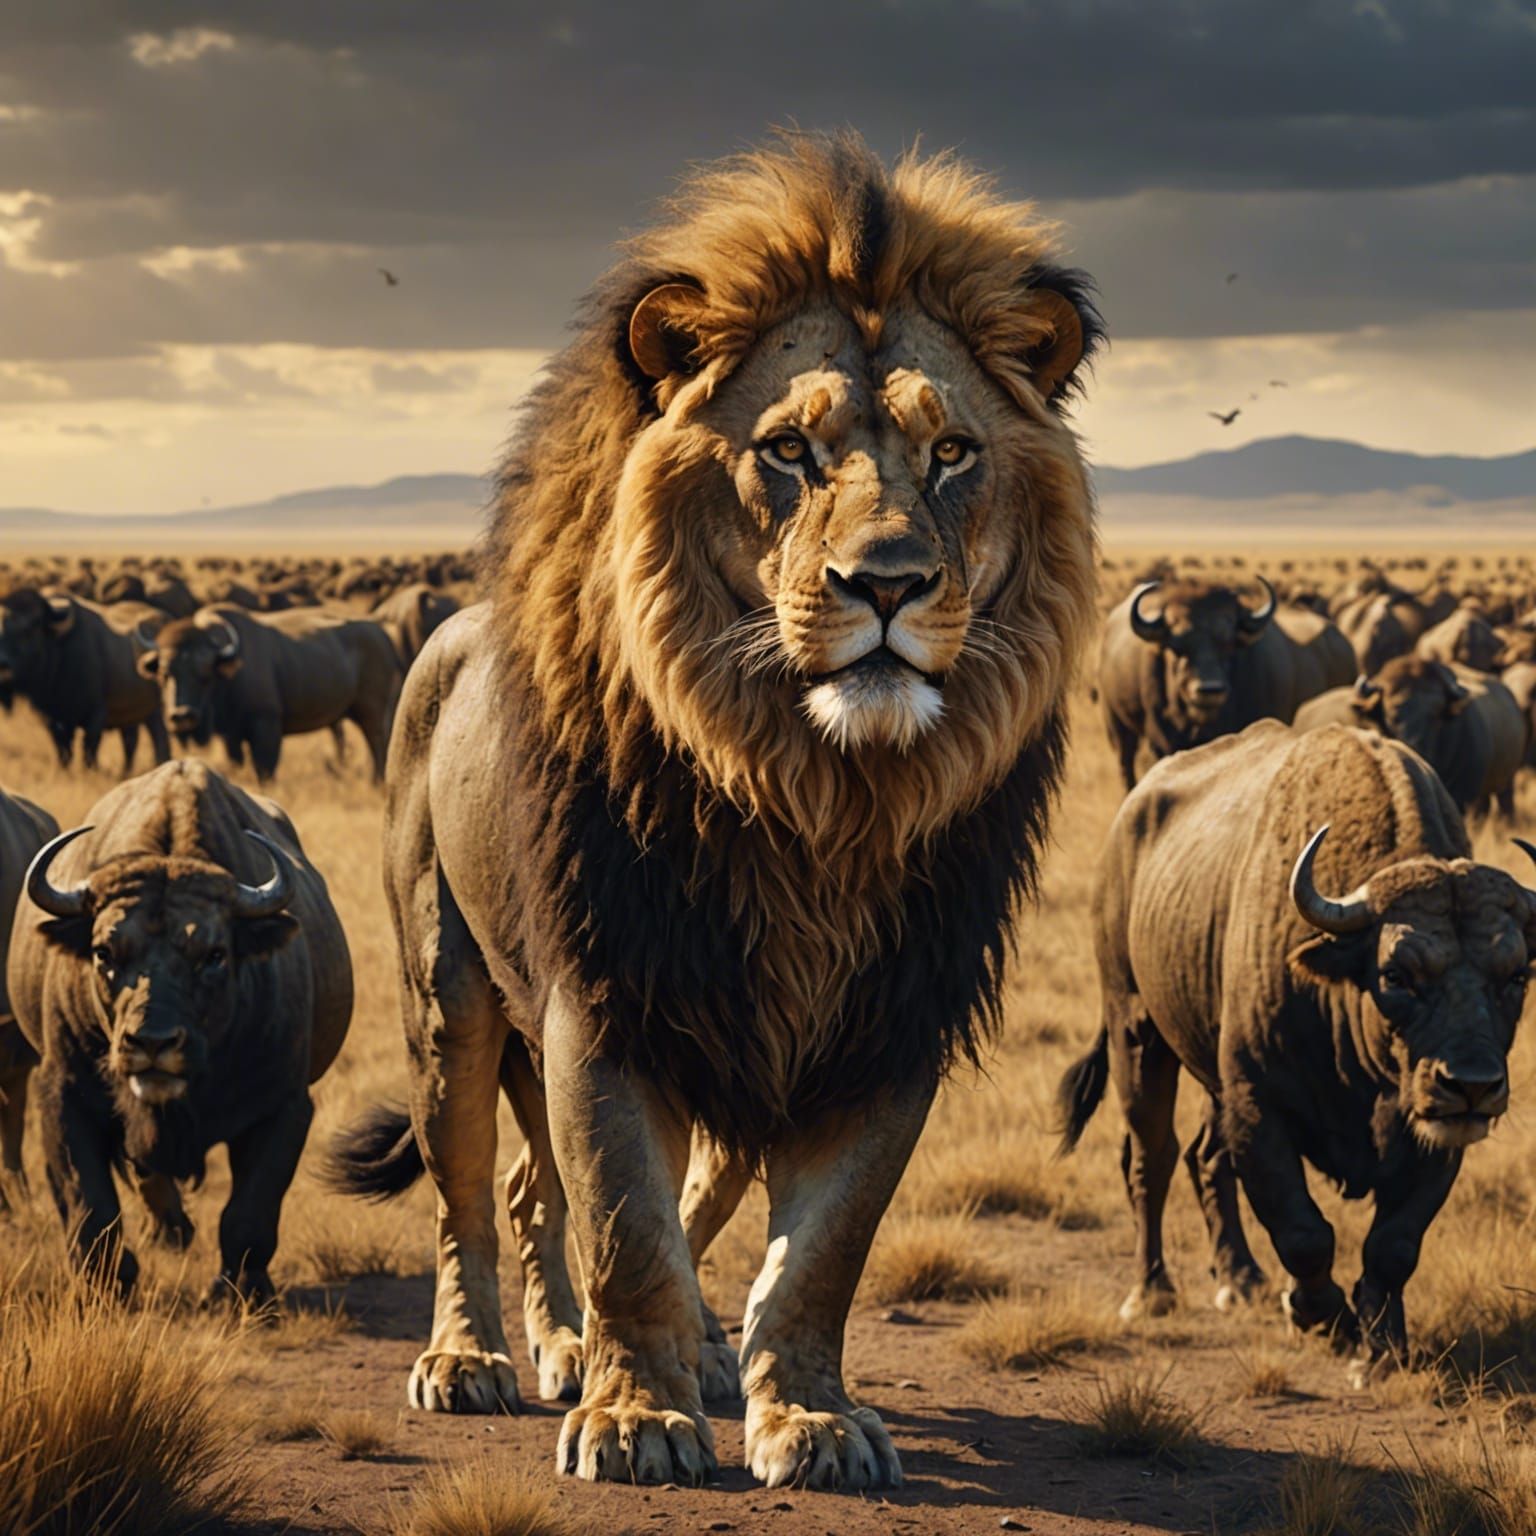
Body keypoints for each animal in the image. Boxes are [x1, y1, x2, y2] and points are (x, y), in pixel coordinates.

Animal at [8, 760, 352, 1299]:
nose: (151, 1043)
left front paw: (242, 1288)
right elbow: (90, 1205)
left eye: (213, 954)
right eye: (104, 952)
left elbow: (250, 1213)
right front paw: (112, 1282)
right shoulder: (61, 1093)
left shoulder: (284, 1107)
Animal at [139, 605, 402, 782]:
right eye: (164, 673)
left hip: (371, 712)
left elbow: (265, 767)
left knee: (377, 744)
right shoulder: (231, 736)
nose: (182, 715)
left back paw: (377, 782)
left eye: (205, 673)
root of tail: (381, 633)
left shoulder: (266, 724)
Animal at [329, 129, 1103, 1490]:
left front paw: (807, 1417)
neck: (819, 798)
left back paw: (628, 1348)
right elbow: (625, 1226)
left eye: (953, 453)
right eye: (789, 451)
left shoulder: (880, 1022)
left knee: (571, 1195)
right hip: (452, 992)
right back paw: (473, 1359)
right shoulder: (608, 994)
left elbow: (818, 1253)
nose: (889, 584)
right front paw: (637, 1422)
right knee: (473, 1190)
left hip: (736, 1041)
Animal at [1058, 722, 1532, 1373]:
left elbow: (1393, 1244)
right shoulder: (1259, 1104)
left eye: (1516, 975)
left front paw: (1382, 1344)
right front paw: (1320, 1316)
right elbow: (1304, 1232)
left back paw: (1240, 1278)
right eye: (1396, 973)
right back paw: (1152, 1291)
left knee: (1204, 1156)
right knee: (1152, 1157)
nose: (1472, 1084)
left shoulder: (1435, 1137)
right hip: (1135, 1030)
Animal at [1099, 577, 1355, 790]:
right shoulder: (1161, 743)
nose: (1209, 690)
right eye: (1177, 646)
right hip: (1117, 725)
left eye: (1228, 644)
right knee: (1125, 763)